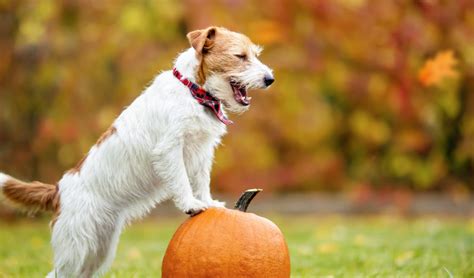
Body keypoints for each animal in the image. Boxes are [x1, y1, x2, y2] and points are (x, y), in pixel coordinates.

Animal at [0, 25, 274, 276]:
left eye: (255, 54)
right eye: (240, 56)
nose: (270, 79)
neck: (192, 90)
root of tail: (58, 190)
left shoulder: (201, 151)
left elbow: (201, 181)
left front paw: (207, 202)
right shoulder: (170, 149)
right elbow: (182, 181)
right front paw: (191, 205)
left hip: (99, 249)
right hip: (75, 249)